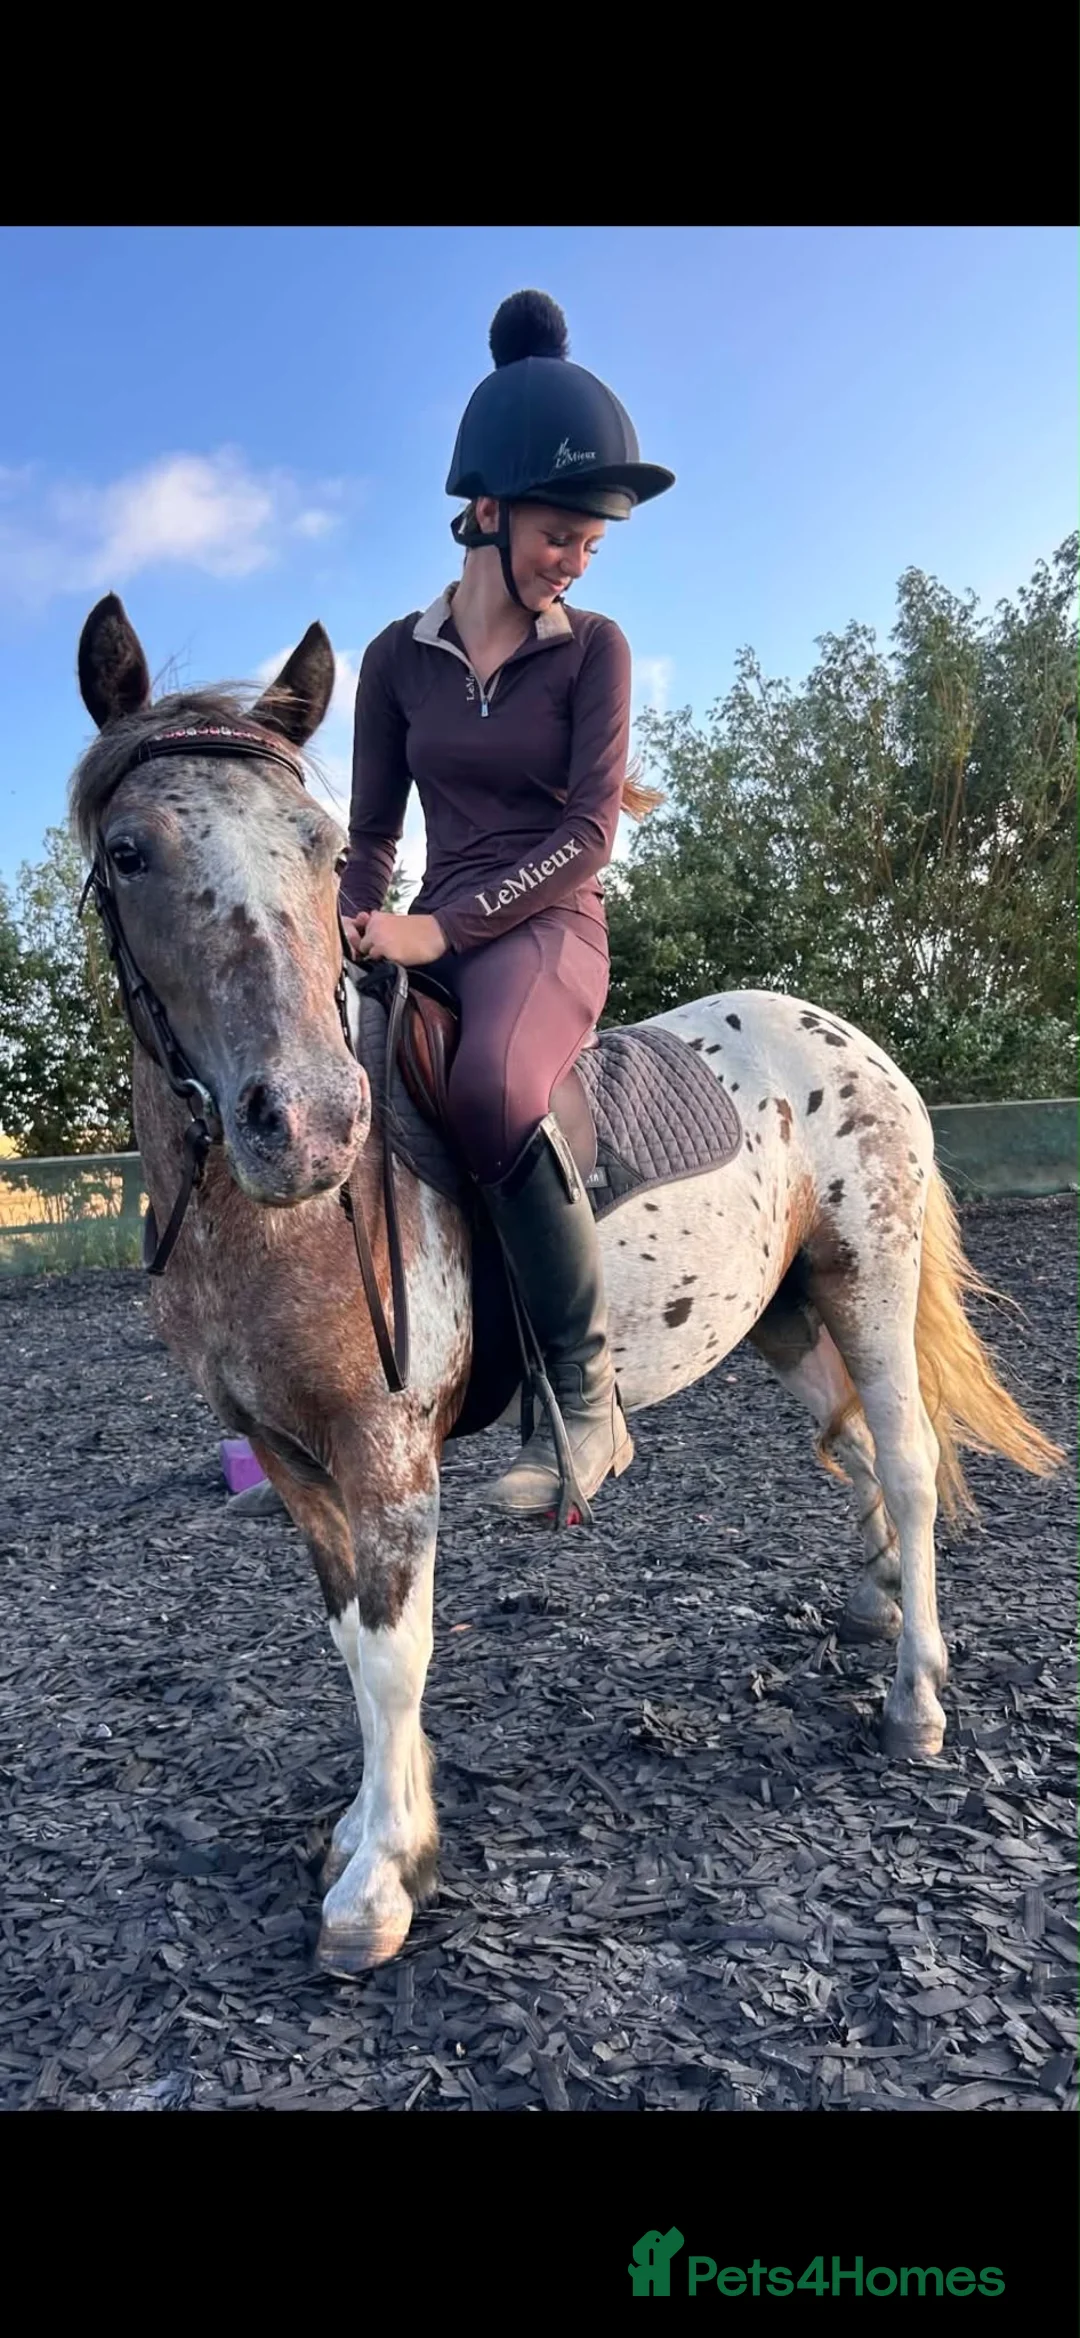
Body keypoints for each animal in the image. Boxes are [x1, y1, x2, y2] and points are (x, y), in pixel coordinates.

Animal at [70, 594, 1062, 1979]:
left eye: (320, 850)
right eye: (130, 852)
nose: (311, 1124)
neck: (278, 1218)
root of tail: (847, 1035)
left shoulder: (386, 1450)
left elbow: (396, 1651)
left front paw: (381, 1878)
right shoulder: (286, 1455)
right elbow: (348, 1639)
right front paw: (374, 1823)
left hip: (868, 1277)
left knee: (910, 1460)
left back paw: (914, 1695)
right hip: (783, 1317)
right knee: (857, 1447)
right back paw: (871, 1610)